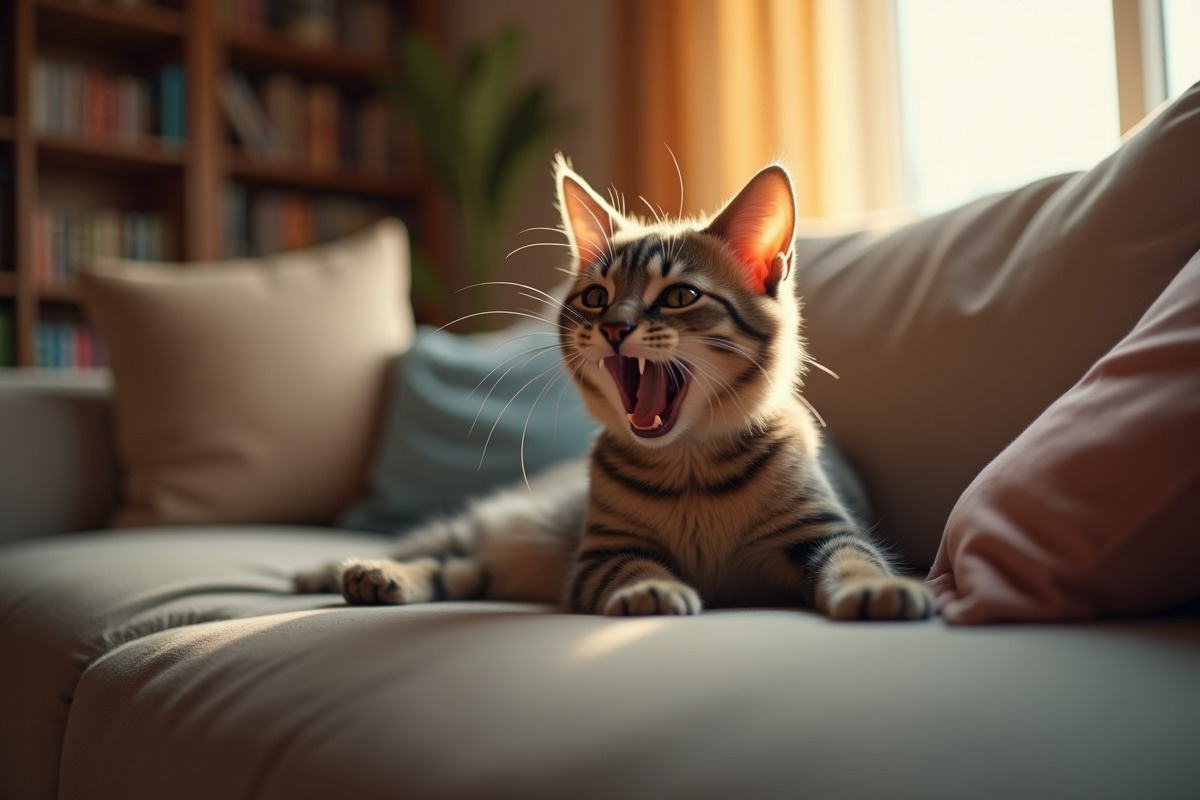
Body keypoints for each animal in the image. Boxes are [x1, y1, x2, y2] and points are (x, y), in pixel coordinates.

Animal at [295, 155, 931, 618]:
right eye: (596, 296)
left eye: (680, 296)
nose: (614, 327)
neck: (689, 468)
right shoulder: (601, 553)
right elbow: (635, 567)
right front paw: (653, 588)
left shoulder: (823, 531)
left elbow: (855, 558)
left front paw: (877, 587)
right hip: (496, 523)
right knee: (435, 548)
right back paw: (347, 569)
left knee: (461, 568)